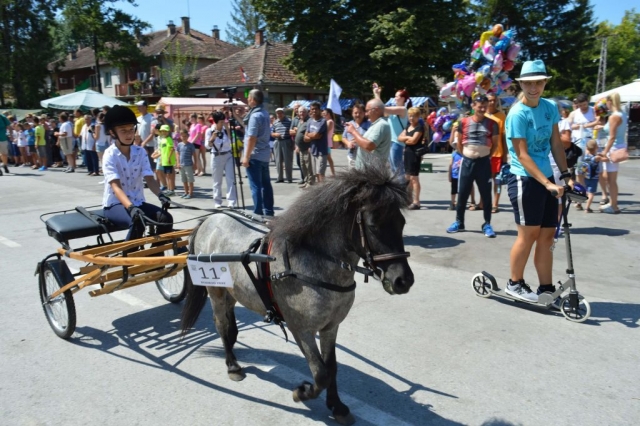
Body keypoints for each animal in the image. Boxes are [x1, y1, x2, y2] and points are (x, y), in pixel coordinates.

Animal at [181, 161, 416, 424]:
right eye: (374, 226)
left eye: (402, 223)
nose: (403, 280)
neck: (311, 261)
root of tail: (210, 219)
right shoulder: (300, 329)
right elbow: (320, 373)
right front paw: (302, 392)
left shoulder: (330, 326)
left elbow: (331, 367)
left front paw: (337, 406)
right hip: (216, 292)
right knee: (221, 325)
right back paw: (233, 366)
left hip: (232, 291)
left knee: (230, 328)